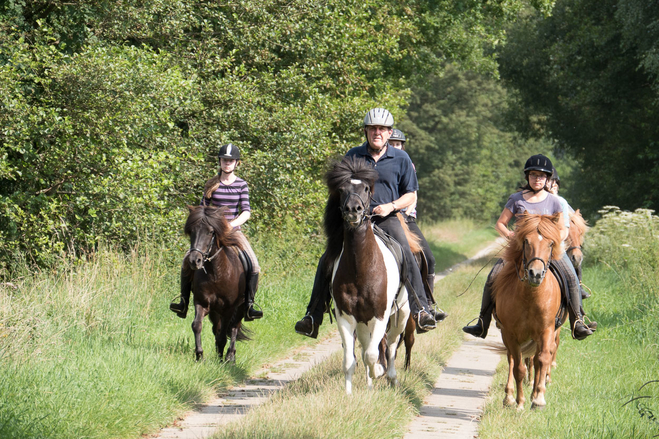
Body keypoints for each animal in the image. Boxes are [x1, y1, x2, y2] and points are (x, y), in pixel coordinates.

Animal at [492, 215, 568, 410]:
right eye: (526, 241)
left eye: (551, 243)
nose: (536, 274)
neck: (530, 297)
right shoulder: (510, 333)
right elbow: (518, 367)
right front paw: (519, 403)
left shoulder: (547, 330)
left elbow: (543, 359)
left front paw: (539, 398)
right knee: (513, 359)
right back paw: (509, 397)